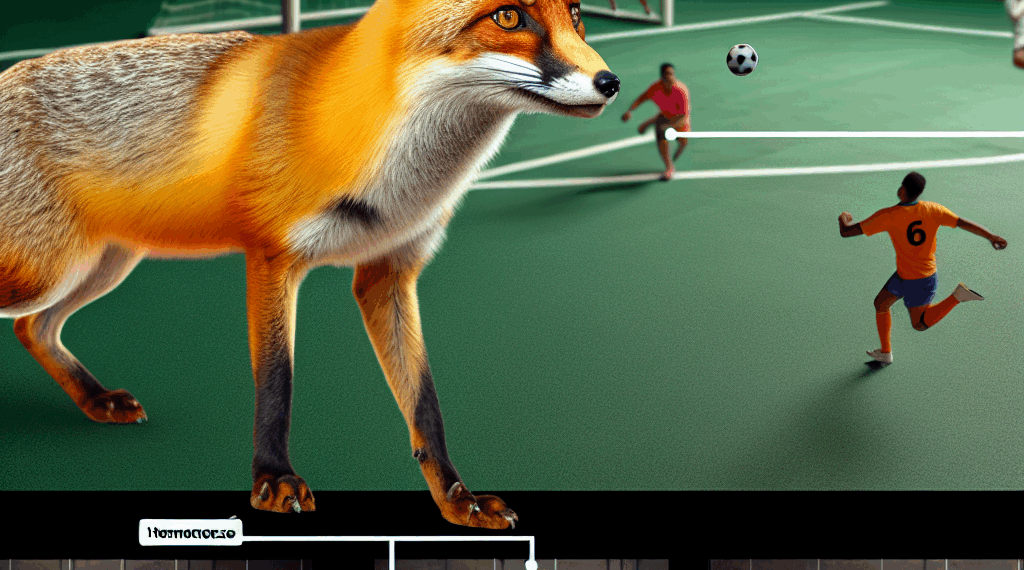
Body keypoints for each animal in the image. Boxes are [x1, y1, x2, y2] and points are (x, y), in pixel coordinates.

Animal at [0, 0, 619, 527]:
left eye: (577, 13)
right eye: (508, 16)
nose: (610, 83)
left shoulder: (389, 273)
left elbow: (425, 404)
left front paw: (455, 499)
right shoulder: (273, 259)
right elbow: (277, 383)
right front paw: (273, 481)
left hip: (104, 263)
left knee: (35, 327)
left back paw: (93, 399)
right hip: (44, 270)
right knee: (28, 320)